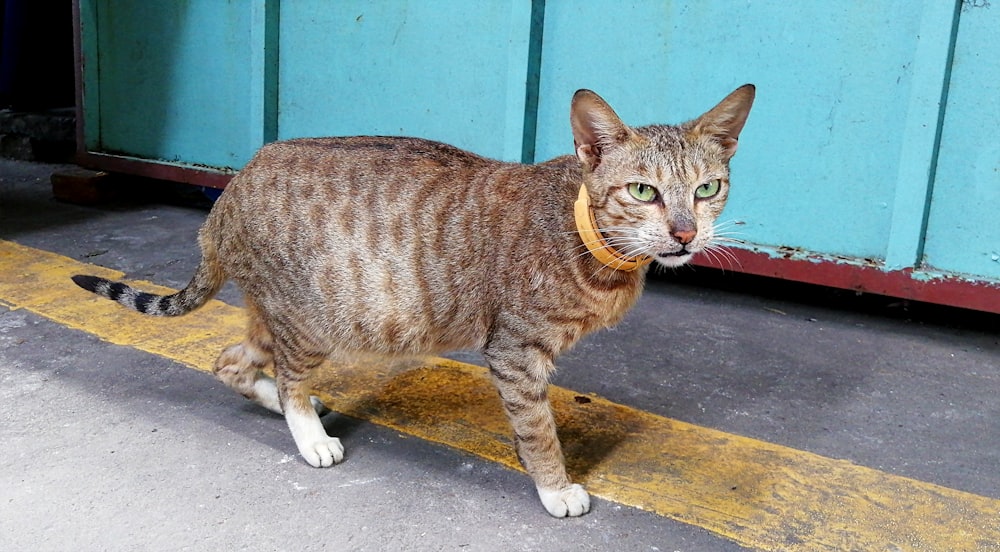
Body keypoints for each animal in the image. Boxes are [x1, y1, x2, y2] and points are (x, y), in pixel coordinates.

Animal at [72, 84, 752, 516]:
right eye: (642, 191)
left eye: (707, 189)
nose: (686, 234)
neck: (587, 235)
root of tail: (231, 188)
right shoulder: (515, 352)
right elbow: (537, 429)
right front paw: (555, 486)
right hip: (312, 319)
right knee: (286, 378)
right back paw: (308, 431)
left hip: (278, 315)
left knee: (231, 362)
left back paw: (281, 402)